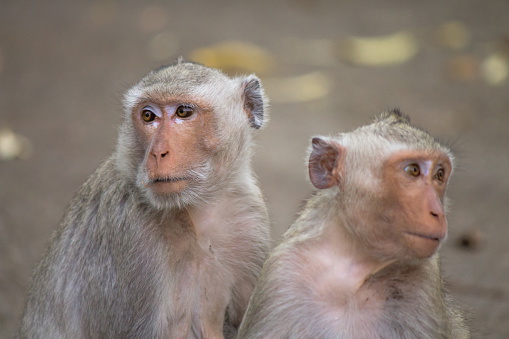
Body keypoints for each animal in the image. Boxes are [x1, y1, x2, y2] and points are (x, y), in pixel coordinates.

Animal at [16, 61, 270, 339]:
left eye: (183, 112)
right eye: (148, 116)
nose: (158, 153)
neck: (195, 213)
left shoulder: (249, 217)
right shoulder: (130, 233)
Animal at [237, 109, 468, 339]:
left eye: (439, 174)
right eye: (413, 170)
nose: (438, 212)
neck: (351, 271)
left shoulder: (425, 283)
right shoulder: (282, 274)